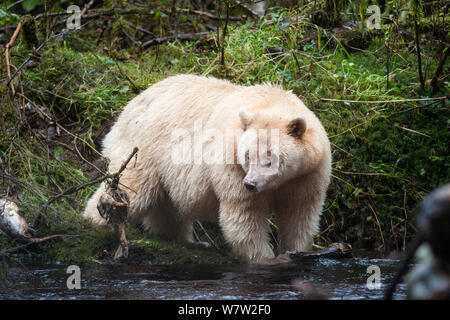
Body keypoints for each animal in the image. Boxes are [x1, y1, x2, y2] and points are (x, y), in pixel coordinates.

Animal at [84, 74, 330, 262]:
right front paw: (265, 258)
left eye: (270, 158)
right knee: (134, 187)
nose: (250, 184)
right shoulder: (231, 166)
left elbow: (299, 213)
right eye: (248, 155)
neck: (270, 102)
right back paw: (98, 219)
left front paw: (295, 251)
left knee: (168, 206)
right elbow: (244, 215)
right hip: (145, 148)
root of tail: (130, 106)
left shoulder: (307, 174)